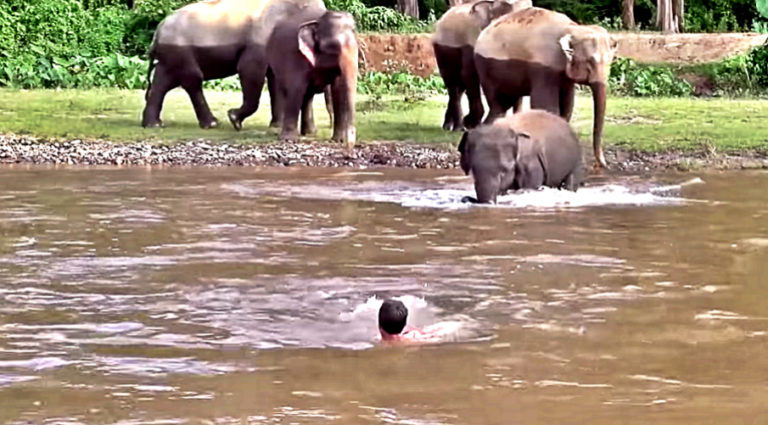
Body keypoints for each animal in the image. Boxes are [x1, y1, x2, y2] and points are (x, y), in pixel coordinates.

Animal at [141, 0, 330, 131]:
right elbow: (249, 71)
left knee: (162, 83)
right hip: (180, 52)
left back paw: (153, 125)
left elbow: (274, 80)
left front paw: (275, 126)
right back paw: (212, 124)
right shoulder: (256, 45)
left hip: (171, 56)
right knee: (192, 80)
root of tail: (157, 34)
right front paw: (234, 119)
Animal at [266, 8, 358, 146]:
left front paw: (338, 140)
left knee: (308, 96)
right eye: (333, 46)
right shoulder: (297, 55)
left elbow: (338, 90)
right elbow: (296, 88)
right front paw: (288, 139)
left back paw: (309, 133)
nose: (349, 144)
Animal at [431, 0, 530, 131]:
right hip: (441, 50)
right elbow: (469, 75)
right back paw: (457, 127)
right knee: (452, 83)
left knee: (459, 88)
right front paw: (471, 123)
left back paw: (448, 126)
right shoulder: (471, 41)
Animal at [473, 7, 617, 167]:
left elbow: (568, 105)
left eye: (611, 61)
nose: (602, 164)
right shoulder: (542, 68)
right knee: (498, 105)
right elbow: (547, 106)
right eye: (590, 61)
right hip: (485, 69)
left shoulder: (564, 77)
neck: (573, 28)